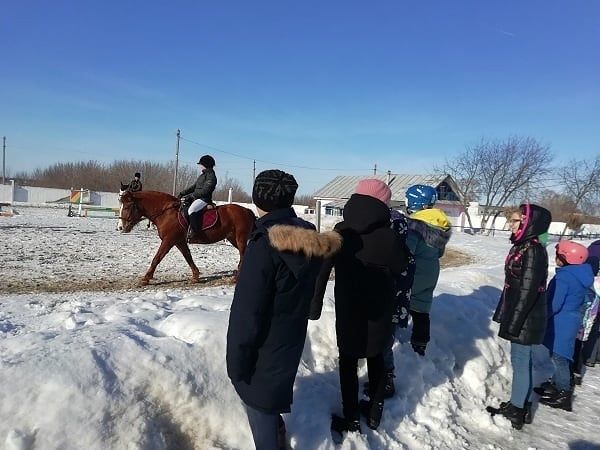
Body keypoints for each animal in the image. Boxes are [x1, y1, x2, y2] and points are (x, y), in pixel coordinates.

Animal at [119, 190, 255, 284]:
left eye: (127, 207)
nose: (121, 227)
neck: (166, 212)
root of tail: (247, 210)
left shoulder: (168, 240)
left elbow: (156, 258)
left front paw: (146, 278)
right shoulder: (179, 241)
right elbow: (188, 257)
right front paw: (195, 276)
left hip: (240, 238)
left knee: (243, 255)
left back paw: (236, 278)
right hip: (233, 239)